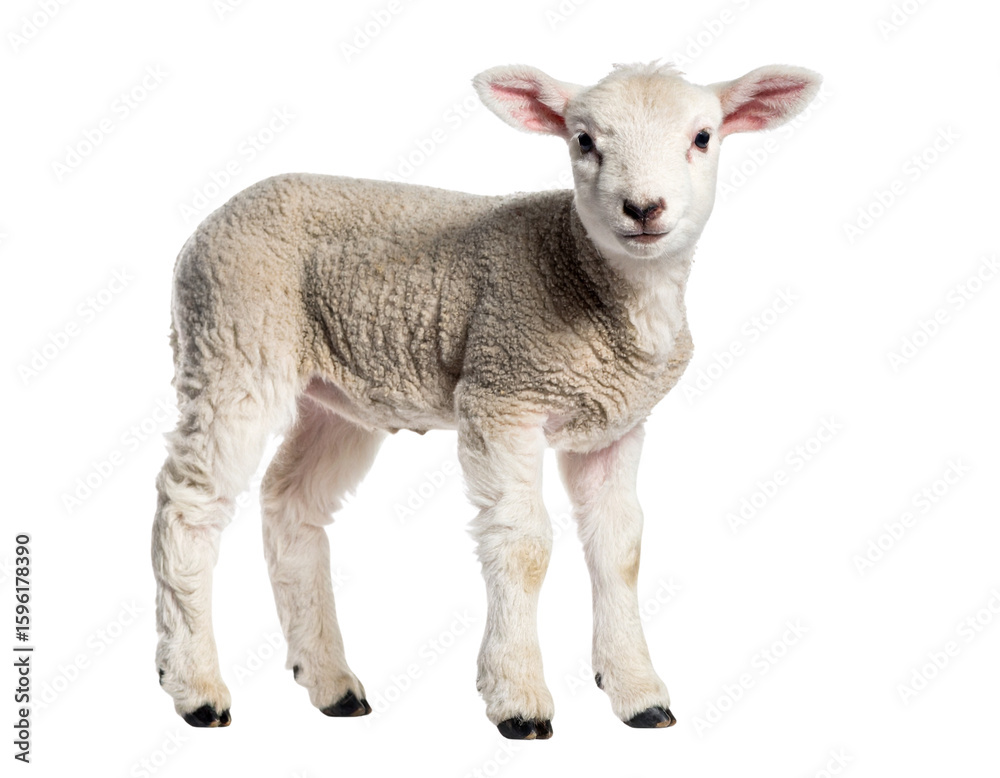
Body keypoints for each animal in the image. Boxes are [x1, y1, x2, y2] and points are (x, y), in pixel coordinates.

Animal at [152, 60, 822, 738]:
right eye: (583, 140)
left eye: (703, 137)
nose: (643, 208)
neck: (581, 270)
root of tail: (209, 223)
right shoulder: (501, 395)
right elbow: (523, 544)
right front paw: (518, 698)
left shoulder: (614, 426)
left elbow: (620, 548)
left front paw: (639, 694)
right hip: (233, 343)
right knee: (189, 504)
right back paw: (195, 687)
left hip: (334, 394)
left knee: (291, 504)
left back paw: (331, 683)